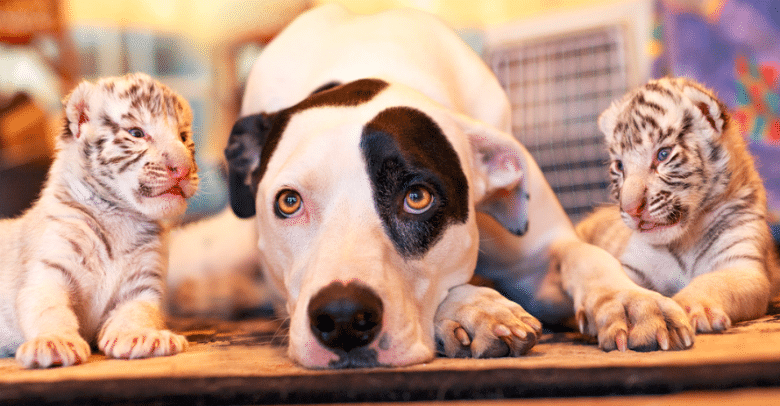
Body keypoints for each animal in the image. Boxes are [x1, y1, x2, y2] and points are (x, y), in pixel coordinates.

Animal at [175, 3, 696, 368]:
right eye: (288, 202)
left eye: (418, 197)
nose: (342, 319)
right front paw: (474, 311)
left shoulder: (540, 252)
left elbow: (584, 255)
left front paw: (628, 301)